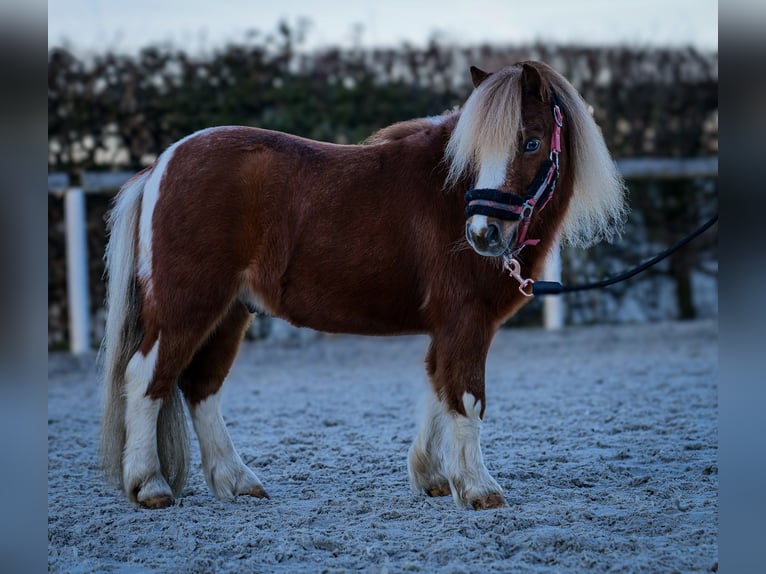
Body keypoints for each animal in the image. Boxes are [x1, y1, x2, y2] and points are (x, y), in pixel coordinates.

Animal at [102, 62, 628, 512]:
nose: (483, 235)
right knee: (146, 378)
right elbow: (466, 397)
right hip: (186, 306)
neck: (449, 196)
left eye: (532, 143)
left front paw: (433, 477)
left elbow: (438, 387)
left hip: (229, 313)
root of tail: (162, 165)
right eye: (477, 153)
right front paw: (479, 488)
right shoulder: (467, 321)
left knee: (201, 387)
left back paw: (238, 482)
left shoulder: (447, 327)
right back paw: (150, 485)